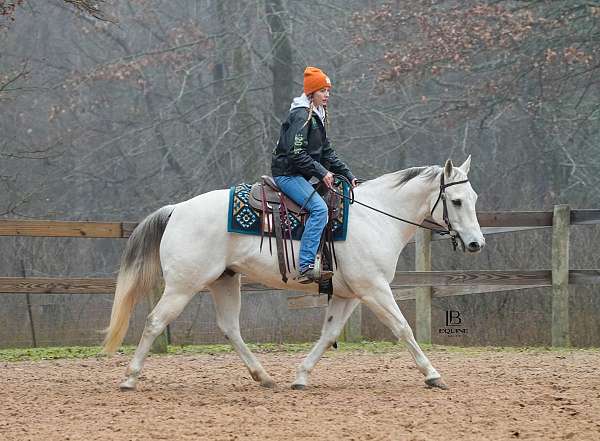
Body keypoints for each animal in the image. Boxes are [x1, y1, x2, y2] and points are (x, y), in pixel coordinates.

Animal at [103, 156, 486, 390]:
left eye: (474, 198)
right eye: (455, 202)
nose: (475, 243)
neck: (375, 217)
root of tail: (177, 209)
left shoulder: (347, 294)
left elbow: (328, 335)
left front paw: (301, 376)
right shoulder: (374, 289)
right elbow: (403, 328)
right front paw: (433, 375)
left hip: (224, 281)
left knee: (230, 328)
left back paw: (263, 376)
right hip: (183, 285)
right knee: (155, 322)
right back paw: (129, 379)